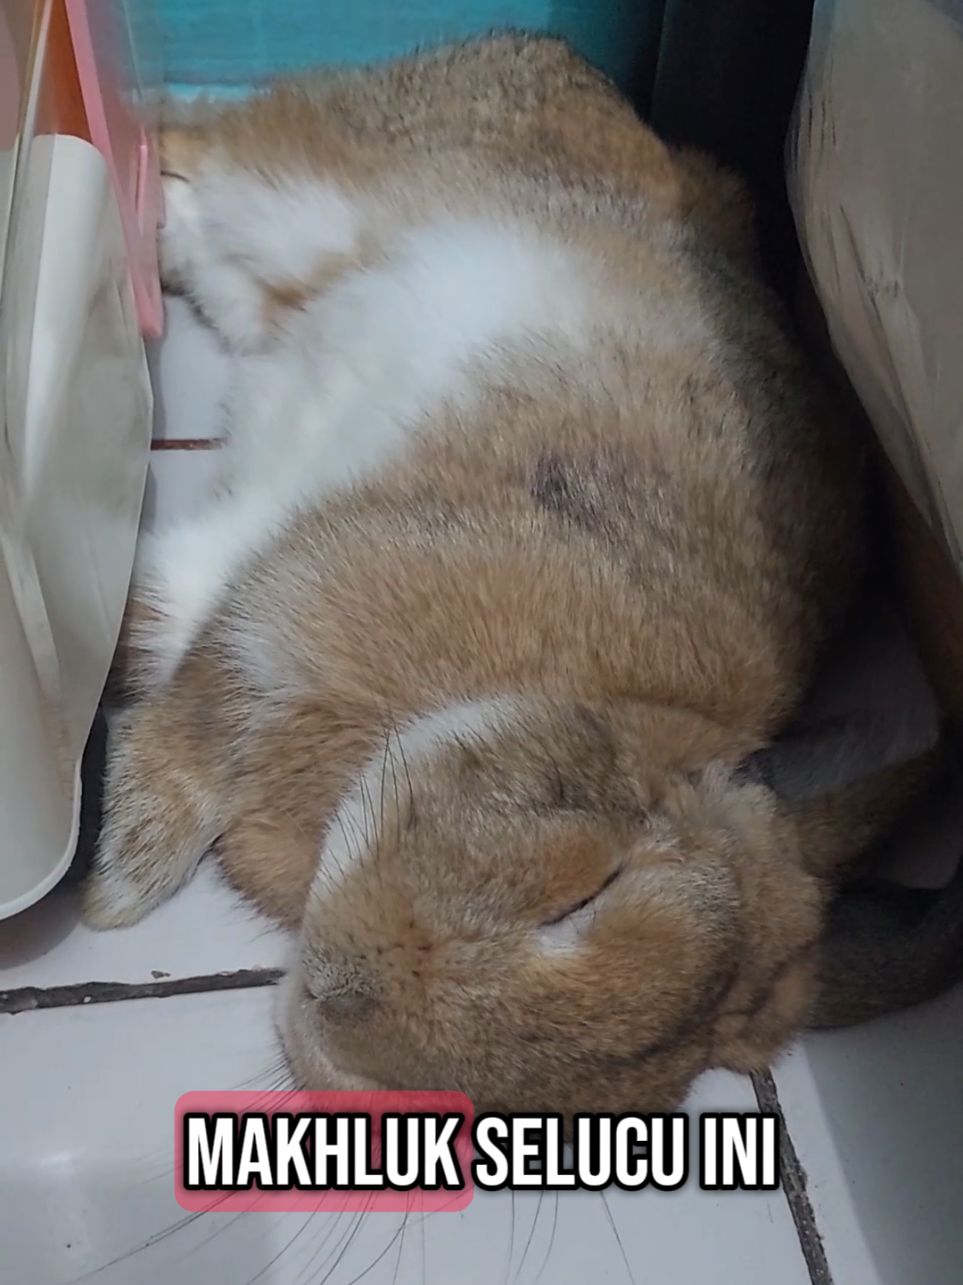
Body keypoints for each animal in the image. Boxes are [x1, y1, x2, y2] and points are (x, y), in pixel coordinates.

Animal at [84, 34, 963, 1117]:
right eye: (586, 890)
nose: (337, 1005)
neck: (570, 695)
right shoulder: (281, 609)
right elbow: (179, 703)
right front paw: (114, 891)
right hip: (307, 191)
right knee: (200, 146)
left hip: (264, 277)